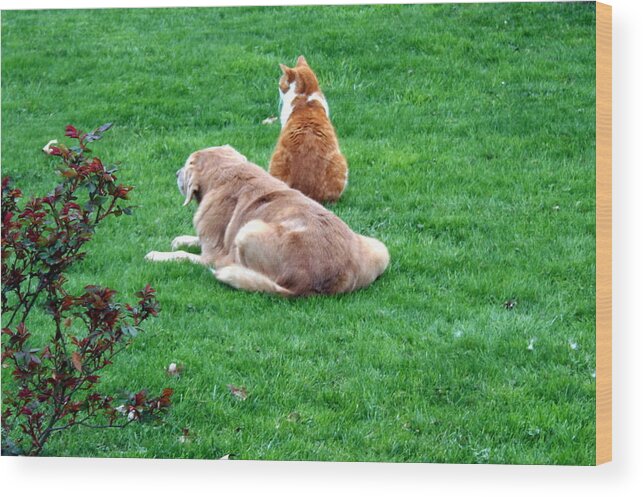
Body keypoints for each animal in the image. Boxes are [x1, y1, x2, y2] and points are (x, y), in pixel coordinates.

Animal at [146, 145, 388, 296]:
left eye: (187, 164)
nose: (176, 173)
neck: (229, 172)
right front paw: (182, 239)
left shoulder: (211, 256)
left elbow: (182, 256)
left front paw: (158, 255)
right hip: (380, 248)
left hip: (249, 229)